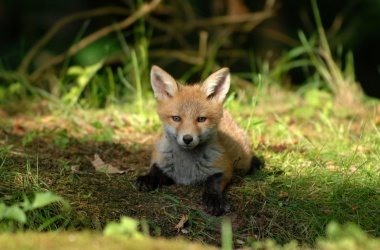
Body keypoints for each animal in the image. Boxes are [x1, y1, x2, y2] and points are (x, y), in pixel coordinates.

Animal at [135, 65, 262, 216]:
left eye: (201, 119)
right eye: (176, 118)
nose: (187, 139)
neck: (186, 167)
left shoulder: (224, 168)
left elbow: (211, 183)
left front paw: (213, 200)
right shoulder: (162, 162)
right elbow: (155, 170)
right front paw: (147, 178)